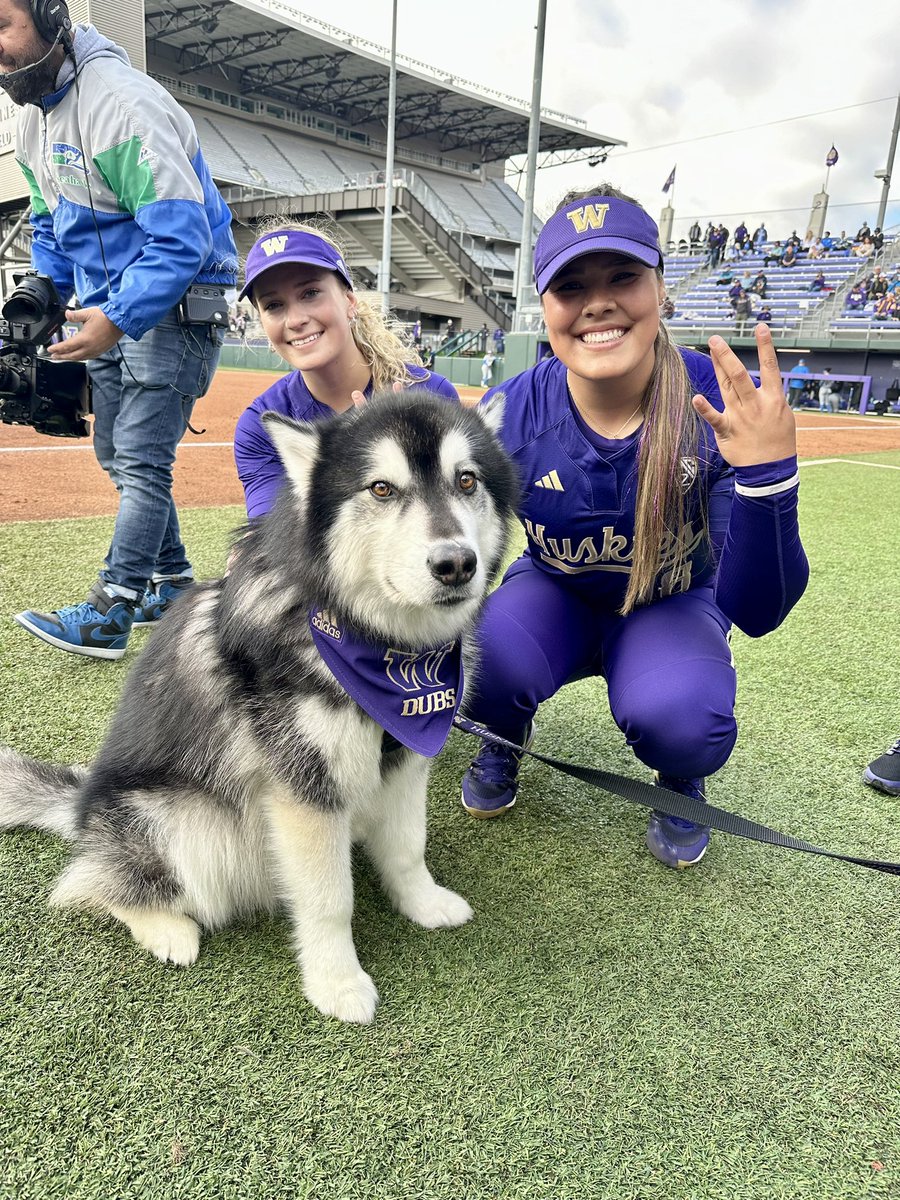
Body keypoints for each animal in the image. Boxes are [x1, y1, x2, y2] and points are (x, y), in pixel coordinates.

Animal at [0, 391, 518, 1022]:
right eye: (381, 489)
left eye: (466, 480)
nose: (456, 564)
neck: (379, 646)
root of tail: (81, 810)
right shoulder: (304, 790)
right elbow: (329, 898)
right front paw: (336, 982)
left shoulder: (405, 762)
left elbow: (406, 849)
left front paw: (422, 903)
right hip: (178, 823)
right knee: (90, 885)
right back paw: (167, 928)